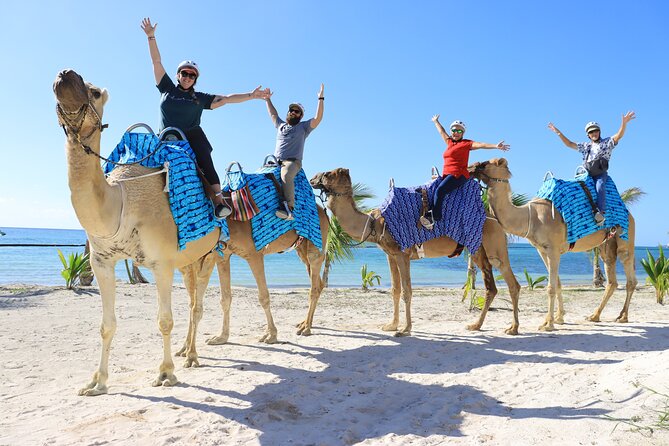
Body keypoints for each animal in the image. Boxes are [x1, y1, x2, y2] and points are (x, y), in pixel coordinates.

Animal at [54, 70, 328, 395]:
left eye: (94, 92)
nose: (66, 74)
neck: (121, 199)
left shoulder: (163, 263)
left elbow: (165, 320)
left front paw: (166, 373)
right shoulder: (102, 261)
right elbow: (106, 325)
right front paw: (97, 382)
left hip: (306, 246)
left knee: (307, 285)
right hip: (205, 257)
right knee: (199, 302)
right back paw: (191, 351)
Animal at [310, 168, 522, 336]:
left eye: (327, 174)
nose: (312, 178)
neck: (374, 223)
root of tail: (494, 217)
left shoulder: (402, 254)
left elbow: (407, 290)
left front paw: (405, 329)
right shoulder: (390, 255)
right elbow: (395, 290)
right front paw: (391, 325)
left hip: (486, 244)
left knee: (501, 284)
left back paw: (496, 327)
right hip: (487, 249)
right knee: (501, 284)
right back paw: (491, 326)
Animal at [470, 158, 637, 331]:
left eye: (487, 163)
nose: (471, 167)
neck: (531, 216)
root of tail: (629, 213)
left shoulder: (553, 249)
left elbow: (550, 287)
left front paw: (548, 324)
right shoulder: (542, 250)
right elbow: (557, 284)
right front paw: (558, 318)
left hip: (625, 236)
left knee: (629, 274)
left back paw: (623, 317)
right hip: (606, 244)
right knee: (611, 279)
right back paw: (595, 316)